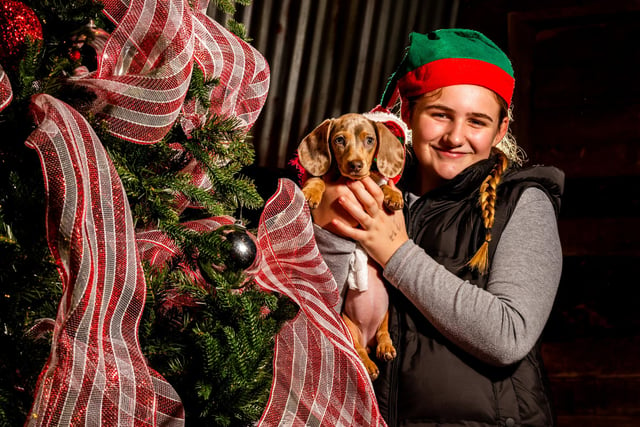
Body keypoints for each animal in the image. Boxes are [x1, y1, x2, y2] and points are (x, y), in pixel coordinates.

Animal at [296, 113, 404, 378]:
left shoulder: (373, 179)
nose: (356, 165)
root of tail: (368, 338)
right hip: (346, 323)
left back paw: (385, 347)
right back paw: (368, 363)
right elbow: (318, 178)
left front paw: (393, 195)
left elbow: (380, 183)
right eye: (339, 140)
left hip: (385, 315)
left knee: (383, 333)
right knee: (358, 348)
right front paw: (312, 191)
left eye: (369, 140)